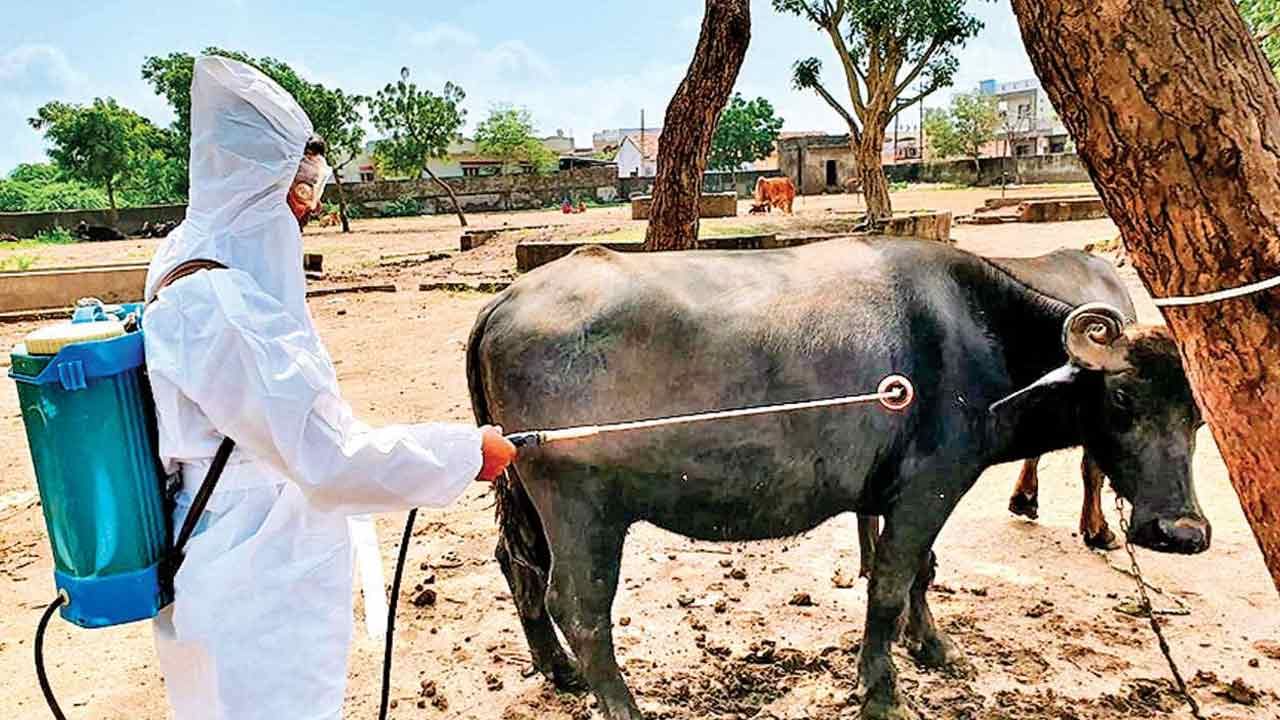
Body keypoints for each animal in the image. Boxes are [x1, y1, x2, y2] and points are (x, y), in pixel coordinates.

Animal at [465, 238, 1203, 712]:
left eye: (1197, 418)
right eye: (1122, 400)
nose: (1183, 532)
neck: (980, 342)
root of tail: (507, 301)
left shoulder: (910, 493)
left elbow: (921, 572)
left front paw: (933, 647)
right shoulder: (929, 487)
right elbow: (890, 586)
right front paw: (881, 690)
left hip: (524, 494)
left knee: (517, 566)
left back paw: (558, 671)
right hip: (582, 507)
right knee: (579, 606)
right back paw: (621, 705)